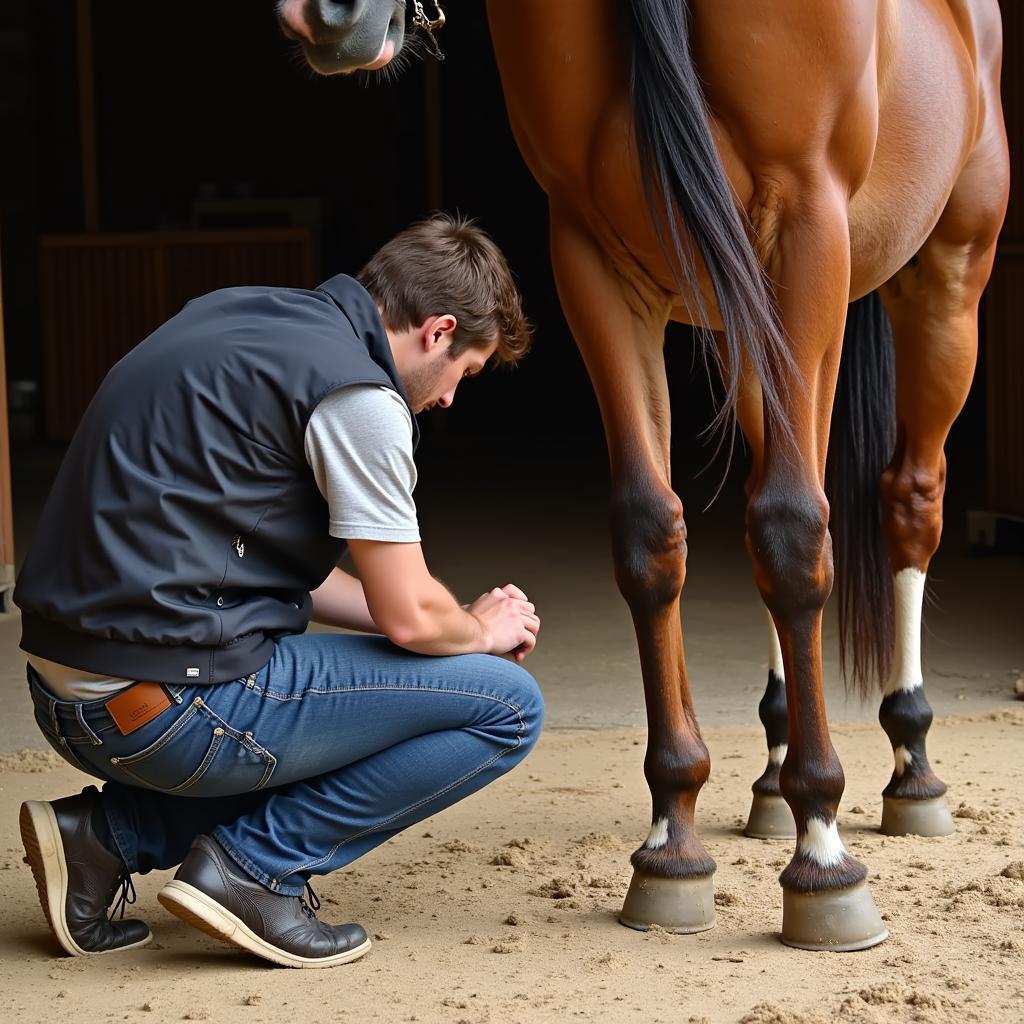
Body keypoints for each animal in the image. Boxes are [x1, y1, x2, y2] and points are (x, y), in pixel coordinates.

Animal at [276, 0, 1011, 950]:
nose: (324, 18)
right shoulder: (596, 260)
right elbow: (652, 532)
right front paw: (674, 842)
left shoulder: (810, 229)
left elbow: (795, 529)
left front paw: (823, 855)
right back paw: (774, 768)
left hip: (947, 282)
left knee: (905, 503)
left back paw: (910, 763)